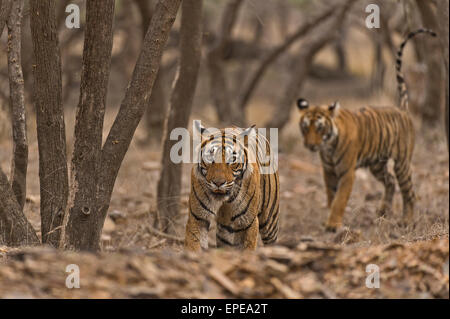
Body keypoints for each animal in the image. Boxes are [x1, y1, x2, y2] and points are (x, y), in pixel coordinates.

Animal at [185, 121, 280, 251]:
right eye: (210, 157)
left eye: (232, 159)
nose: (218, 183)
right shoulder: (198, 218)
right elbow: (194, 244)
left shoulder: (249, 222)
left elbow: (248, 249)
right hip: (226, 231)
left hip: (269, 221)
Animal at [296, 28, 436, 232]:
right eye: (305, 128)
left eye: (320, 128)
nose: (310, 145)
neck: (327, 146)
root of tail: (401, 109)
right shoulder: (328, 171)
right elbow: (331, 196)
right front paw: (328, 218)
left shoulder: (347, 172)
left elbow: (340, 199)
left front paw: (333, 224)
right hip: (377, 164)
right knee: (390, 182)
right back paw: (383, 212)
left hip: (401, 162)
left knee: (408, 191)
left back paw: (406, 221)